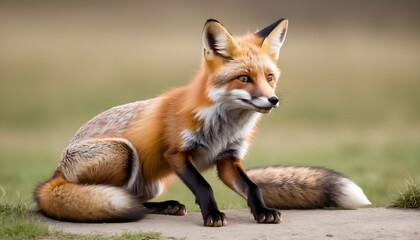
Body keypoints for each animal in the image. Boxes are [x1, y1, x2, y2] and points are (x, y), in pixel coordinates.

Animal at [36, 18, 370, 227]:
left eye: (270, 77)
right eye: (244, 78)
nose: (272, 100)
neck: (223, 126)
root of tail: (54, 176)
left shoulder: (229, 159)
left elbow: (253, 187)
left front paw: (262, 211)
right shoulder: (176, 154)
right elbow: (204, 186)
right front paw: (213, 215)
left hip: (152, 179)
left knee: (135, 198)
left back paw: (165, 206)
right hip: (124, 152)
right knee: (116, 198)